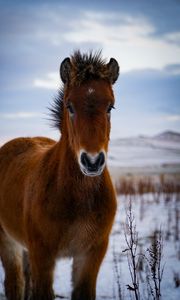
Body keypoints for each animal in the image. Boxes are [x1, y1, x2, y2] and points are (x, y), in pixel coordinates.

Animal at [0, 51, 119, 300]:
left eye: (110, 107)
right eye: (69, 106)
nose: (92, 161)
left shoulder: (91, 254)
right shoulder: (42, 254)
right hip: (7, 242)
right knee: (15, 283)